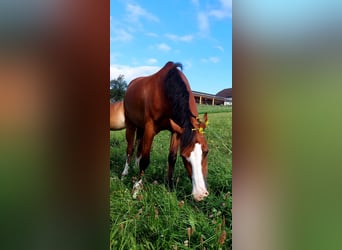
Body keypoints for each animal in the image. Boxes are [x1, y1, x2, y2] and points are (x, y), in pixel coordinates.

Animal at [123, 61, 208, 202]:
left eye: (206, 151)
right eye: (184, 156)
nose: (200, 194)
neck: (165, 91)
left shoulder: (176, 130)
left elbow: (172, 158)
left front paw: (170, 186)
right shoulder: (150, 128)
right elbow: (145, 159)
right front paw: (137, 188)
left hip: (141, 127)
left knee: (139, 146)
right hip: (131, 124)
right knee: (130, 148)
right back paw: (125, 172)